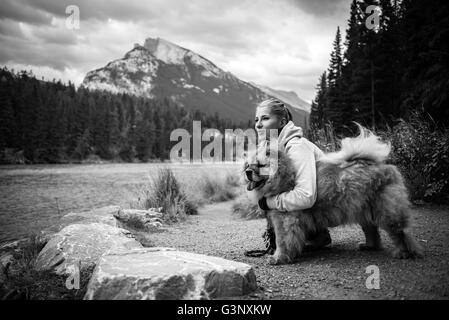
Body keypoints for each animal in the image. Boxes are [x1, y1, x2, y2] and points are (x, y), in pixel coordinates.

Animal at [243, 125, 422, 264]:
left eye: (260, 165)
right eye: (248, 165)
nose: (248, 172)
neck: (286, 176)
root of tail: (384, 166)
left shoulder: (285, 219)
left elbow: (282, 241)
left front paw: (278, 258)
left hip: (386, 211)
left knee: (400, 232)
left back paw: (404, 252)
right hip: (363, 209)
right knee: (372, 230)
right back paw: (369, 246)